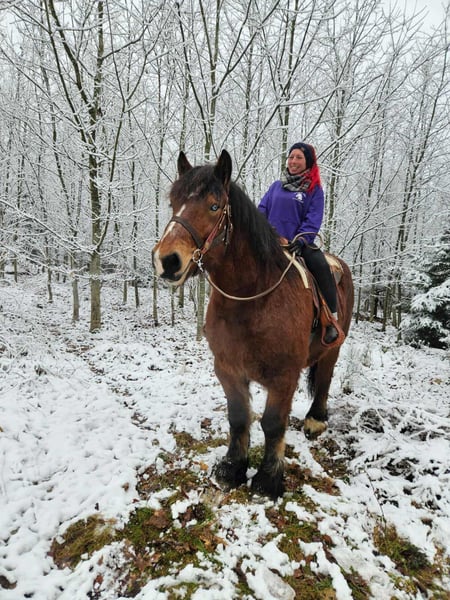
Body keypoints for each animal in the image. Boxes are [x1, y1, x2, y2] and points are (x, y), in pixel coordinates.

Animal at [152, 150, 354, 499]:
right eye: (173, 201)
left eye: (214, 206)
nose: (167, 260)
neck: (252, 299)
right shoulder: (227, 368)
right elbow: (238, 418)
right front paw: (232, 468)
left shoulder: (284, 376)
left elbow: (272, 424)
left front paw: (268, 479)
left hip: (333, 348)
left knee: (325, 377)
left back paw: (315, 420)